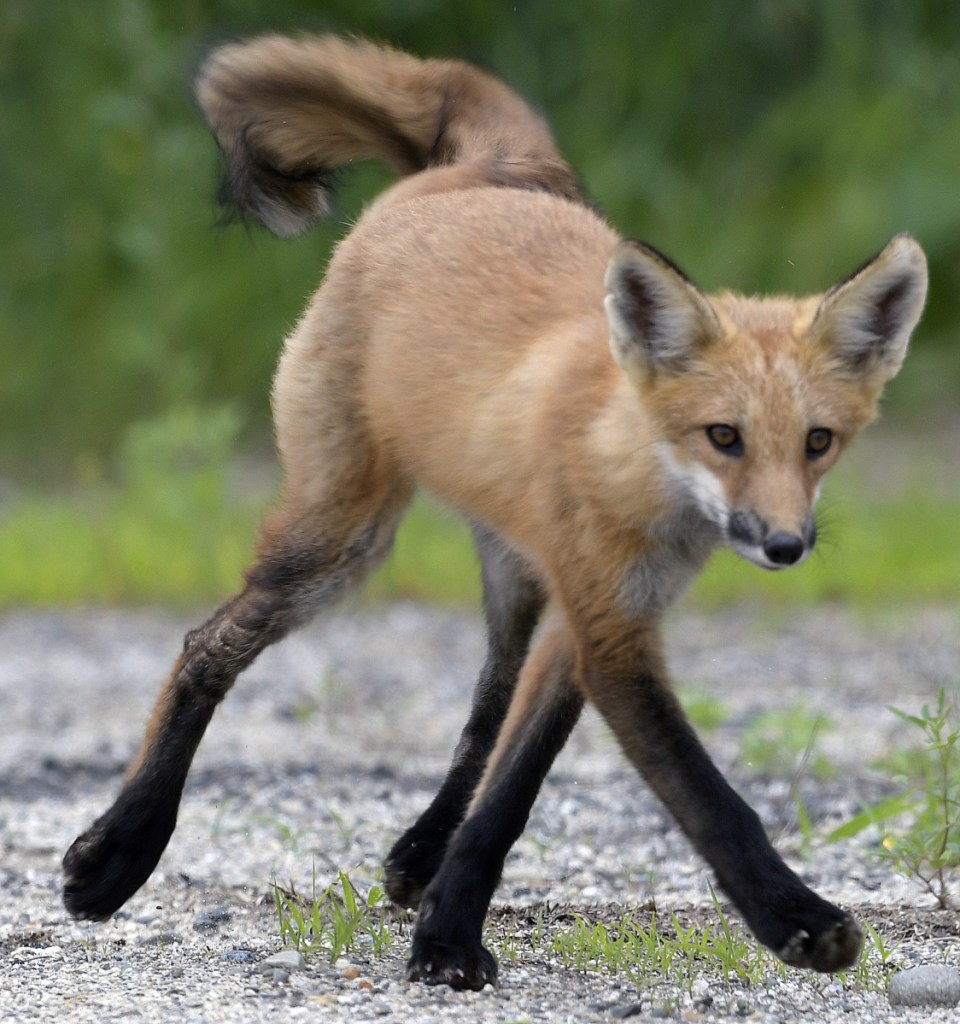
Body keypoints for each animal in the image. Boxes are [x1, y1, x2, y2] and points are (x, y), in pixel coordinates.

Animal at [58, 36, 921, 987]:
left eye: (818, 442)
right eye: (723, 437)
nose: (785, 545)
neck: (630, 471)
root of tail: (482, 170)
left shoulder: (593, 620)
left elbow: (512, 787)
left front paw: (447, 927)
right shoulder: (610, 635)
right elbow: (709, 801)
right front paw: (796, 919)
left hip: (511, 570)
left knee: (485, 698)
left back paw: (420, 850)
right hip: (342, 538)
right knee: (205, 647)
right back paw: (123, 846)